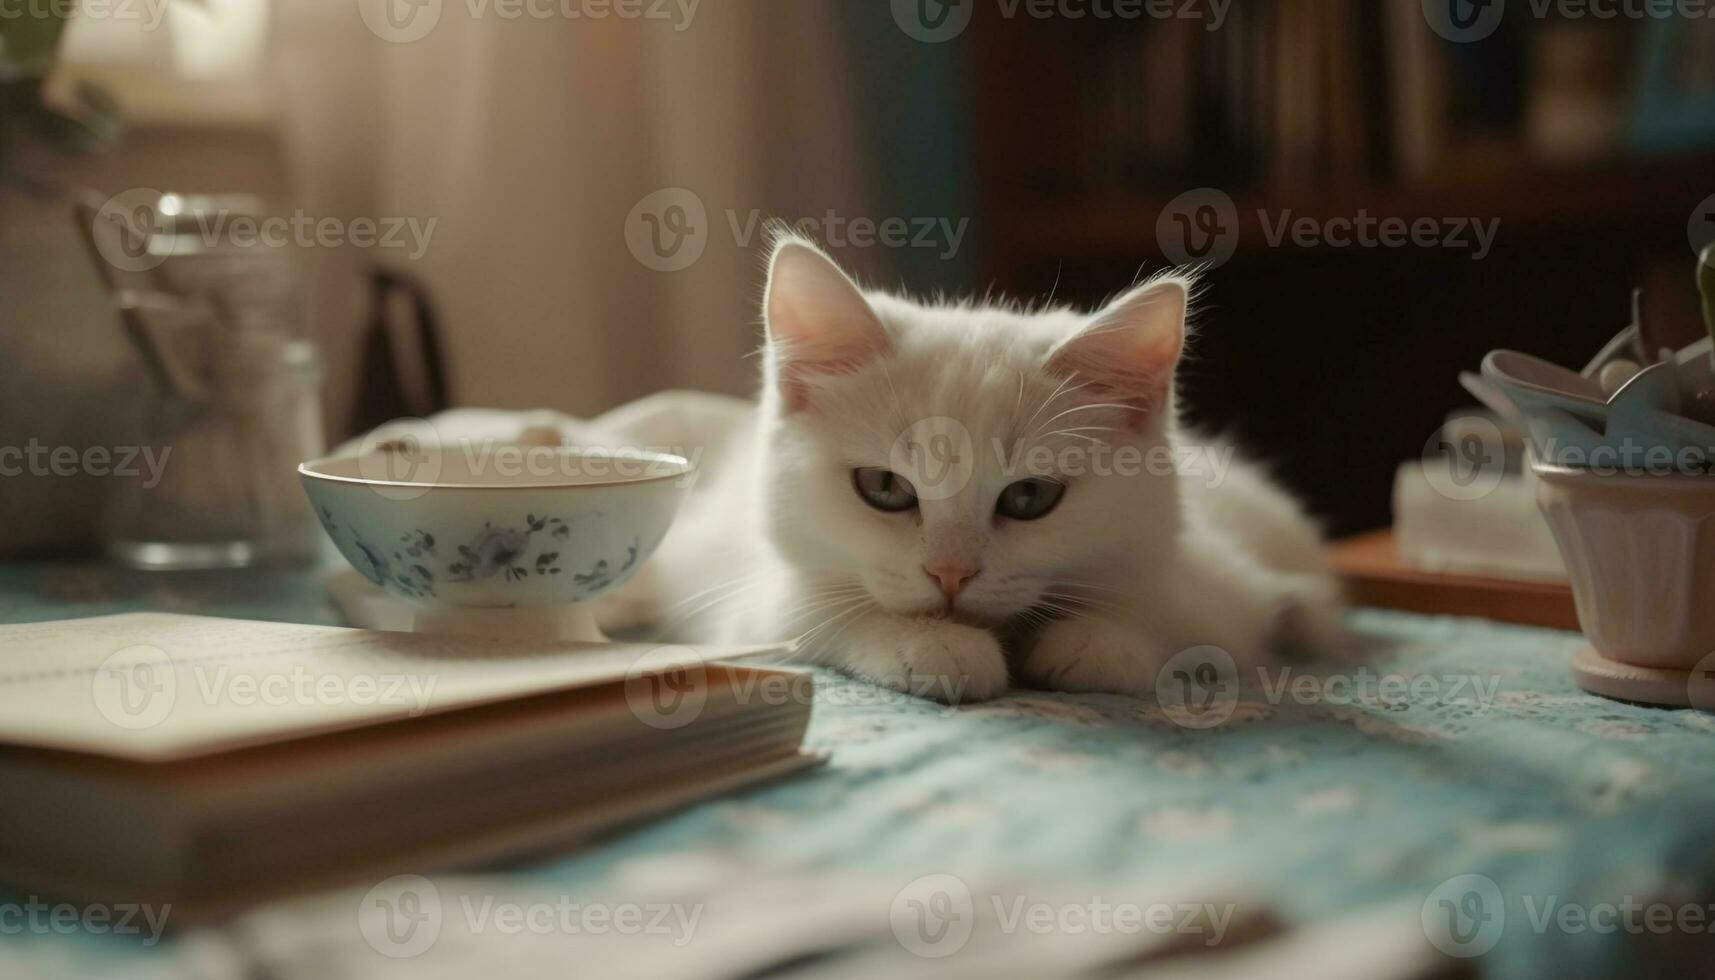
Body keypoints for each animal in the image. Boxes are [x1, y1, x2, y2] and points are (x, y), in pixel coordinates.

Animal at [596, 233, 1344, 700]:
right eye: (885, 487)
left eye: (1030, 496)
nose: (950, 574)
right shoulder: (750, 594)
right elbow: (814, 610)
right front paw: (931, 646)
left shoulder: (1214, 585)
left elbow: (1179, 618)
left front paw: (1098, 640)